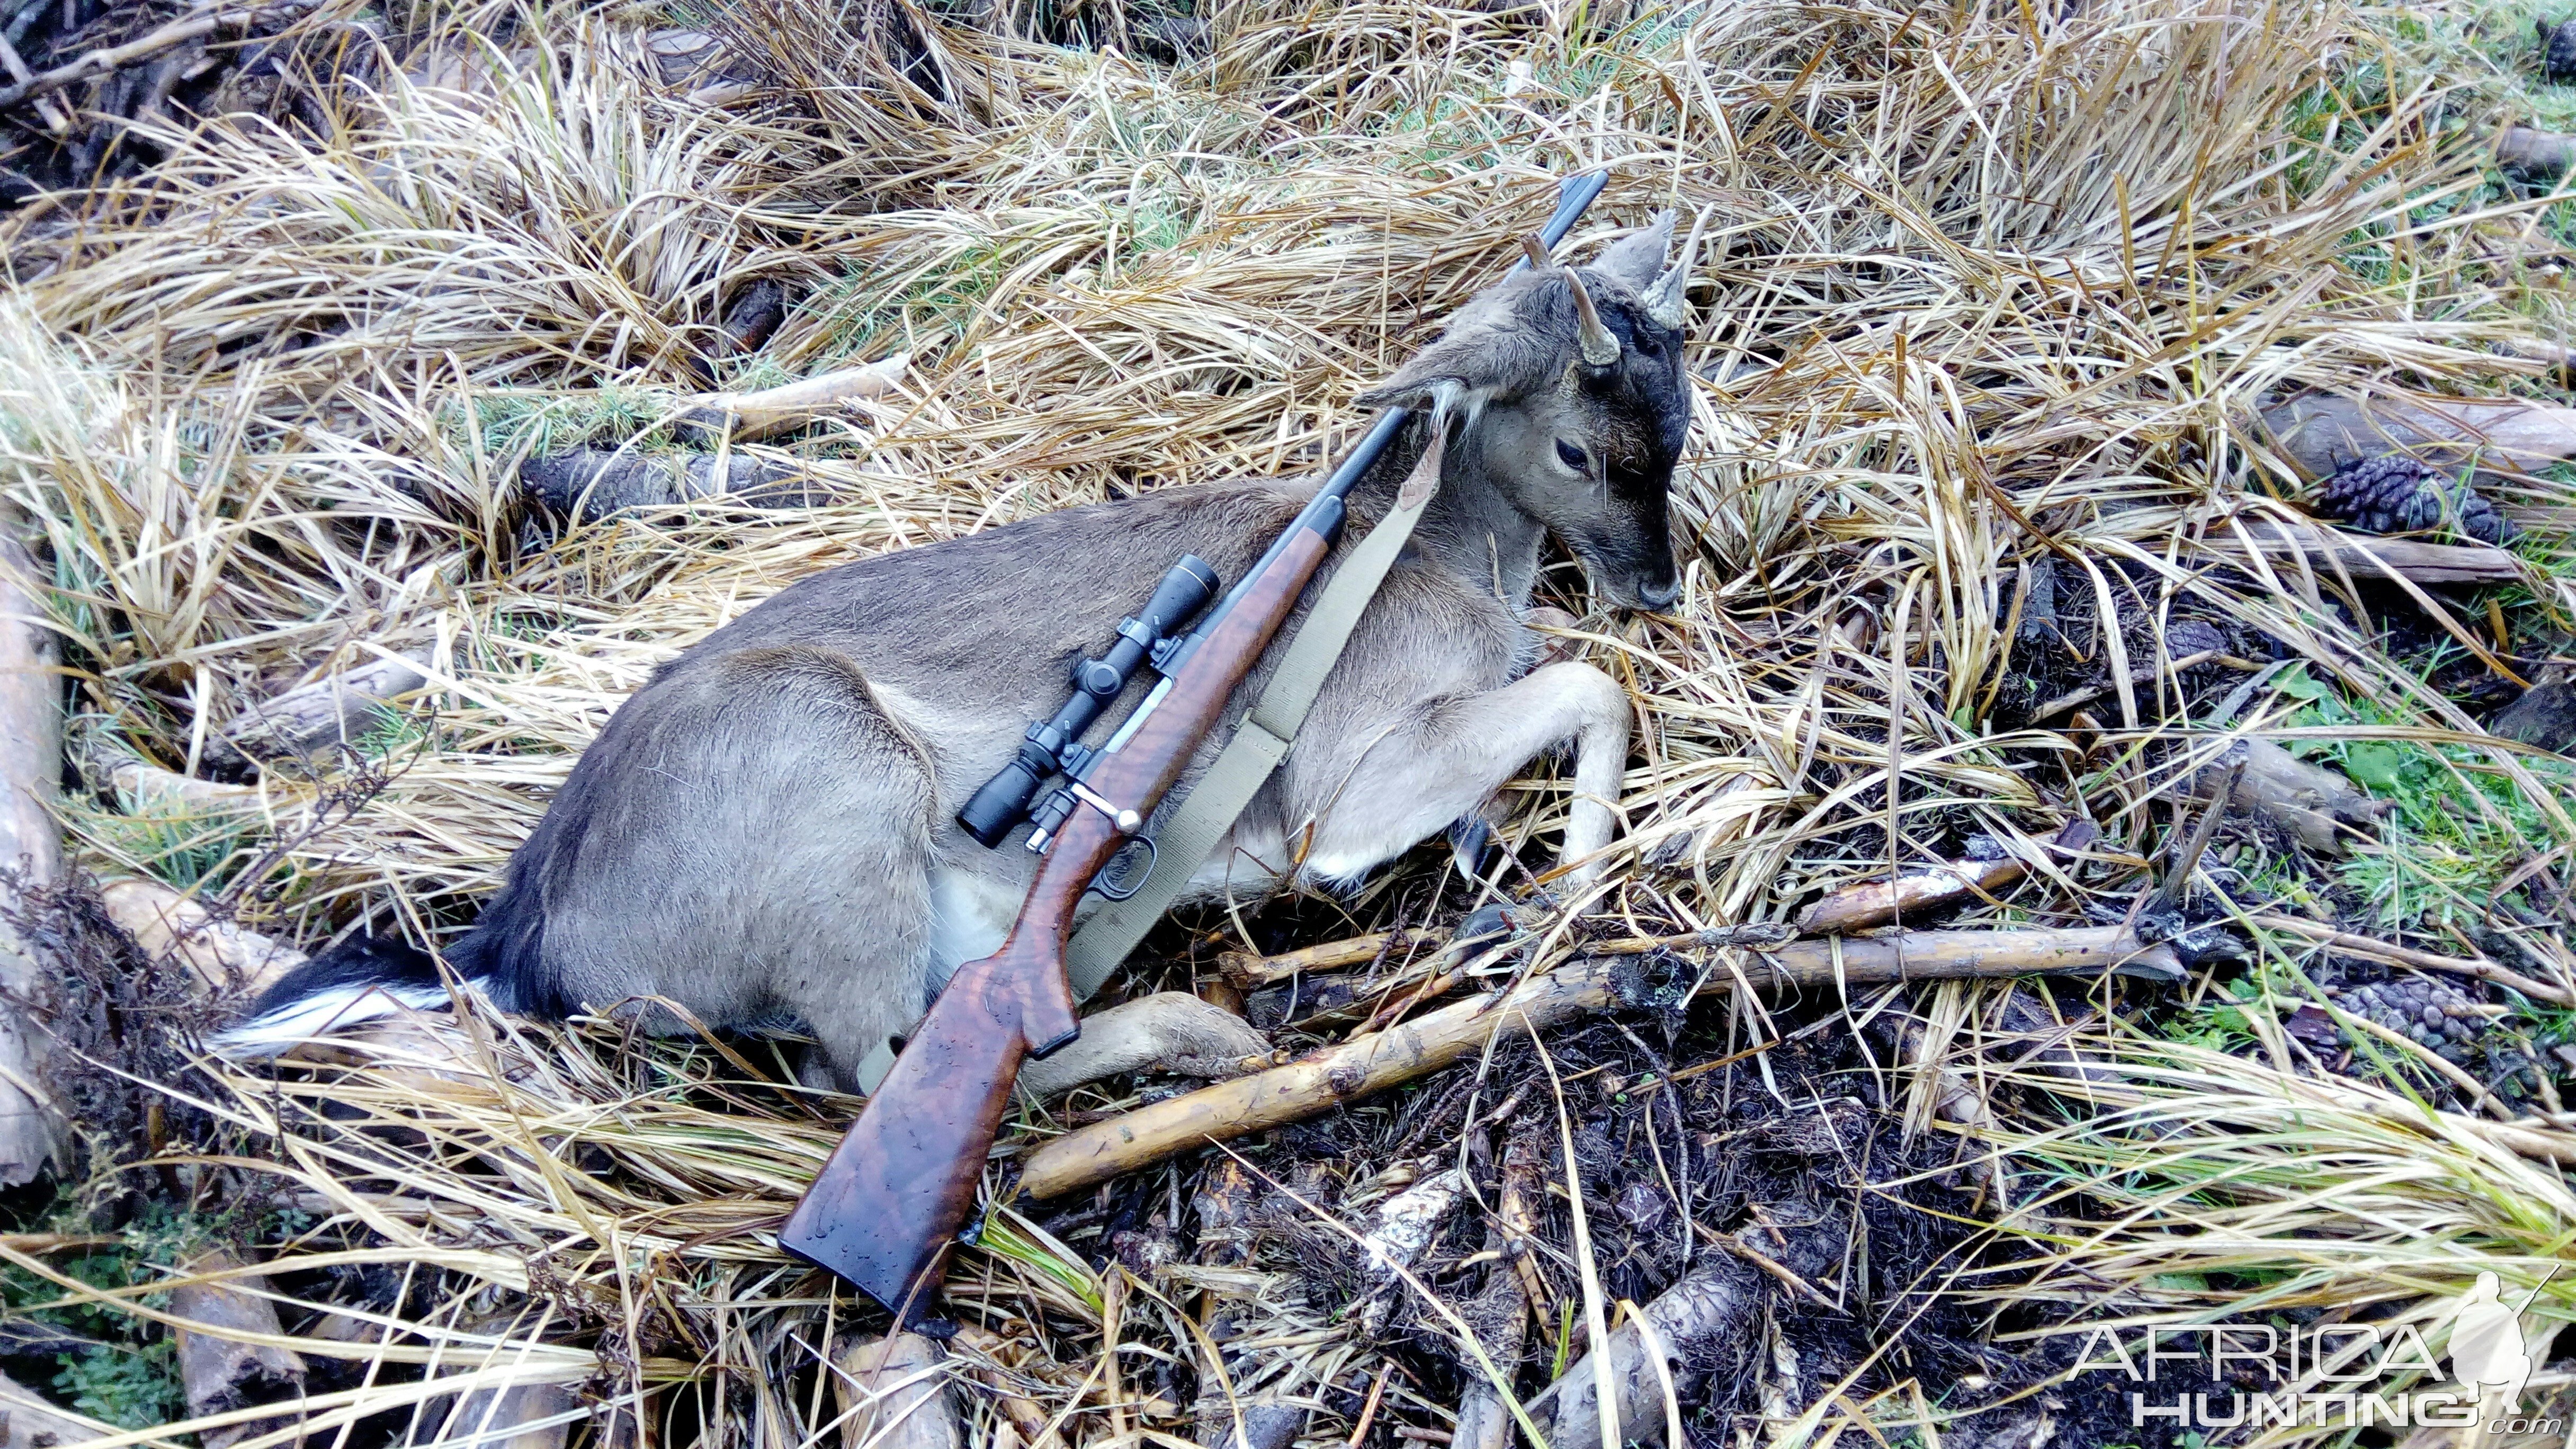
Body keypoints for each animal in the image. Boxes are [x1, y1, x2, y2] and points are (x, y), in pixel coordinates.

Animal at [227, 209, 1710, 1088]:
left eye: (1683, 416)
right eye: (1579, 450)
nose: (1653, 583)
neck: (1439, 559)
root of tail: (524, 941)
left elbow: (1569, 683)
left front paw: (1506, 852)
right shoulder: (1332, 785)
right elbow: (1584, 686)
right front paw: (1580, 875)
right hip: (831, 790)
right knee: (877, 1069)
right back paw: (1205, 1034)